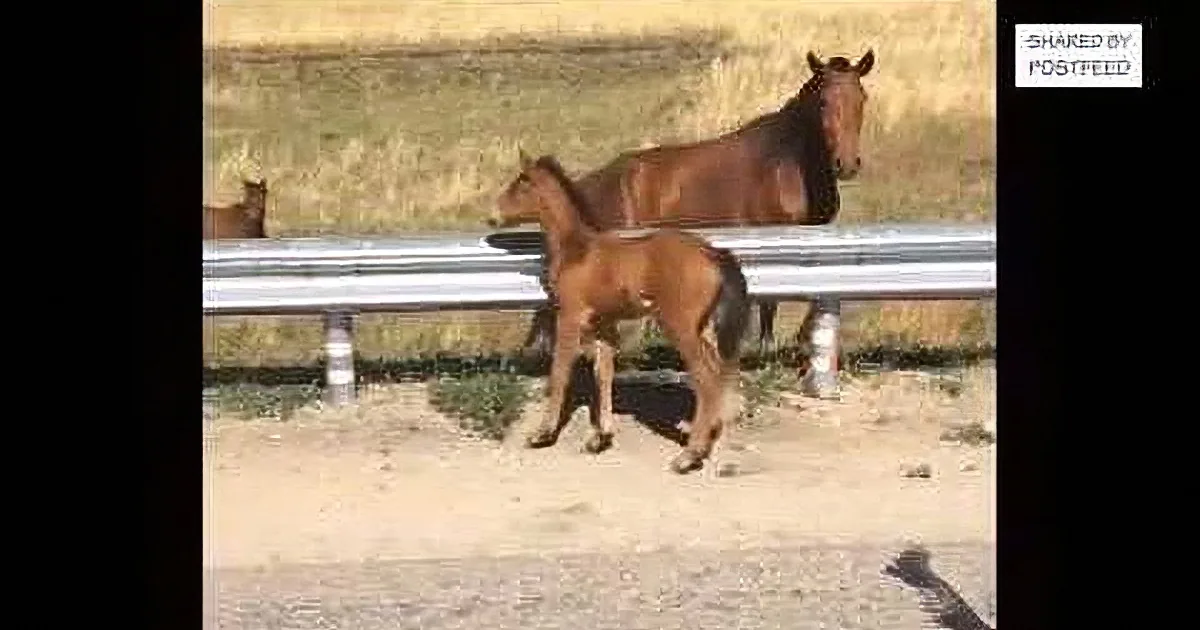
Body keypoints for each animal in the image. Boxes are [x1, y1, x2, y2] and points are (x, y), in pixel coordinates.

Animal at [490, 151, 751, 474]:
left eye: (520, 183)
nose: (493, 215)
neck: (577, 250)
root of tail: (712, 253)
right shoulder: (604, 323)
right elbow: (603, 374)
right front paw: (600, 438)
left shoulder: (570, 317)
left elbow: (560, 374)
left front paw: (542, 434)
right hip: (701, 328)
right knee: (718, 374)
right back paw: (706, 442)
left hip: (679, 327)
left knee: (706, 379)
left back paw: (688, 457)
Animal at [498, 49, 875, 358]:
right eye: (823, 101)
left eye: (861, 98)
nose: (846, 164)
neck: (786, 165)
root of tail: (588, 183)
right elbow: (770, 304)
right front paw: (766, 347)